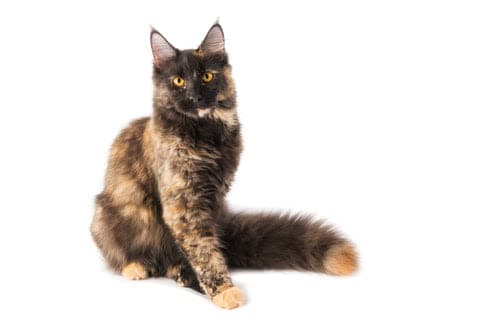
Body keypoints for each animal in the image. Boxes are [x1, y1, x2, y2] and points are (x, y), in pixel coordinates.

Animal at [92, 23, 358, 310]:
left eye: (207, 77)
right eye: (178, 81)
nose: (195, 97)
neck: (207, 136)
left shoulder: (212, 199)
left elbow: (201, 248)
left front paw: (198, 281)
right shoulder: (184, 205)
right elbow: (202, 249)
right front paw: (223, 289)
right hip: (105, 216)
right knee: (119, 255)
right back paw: (136, 266)